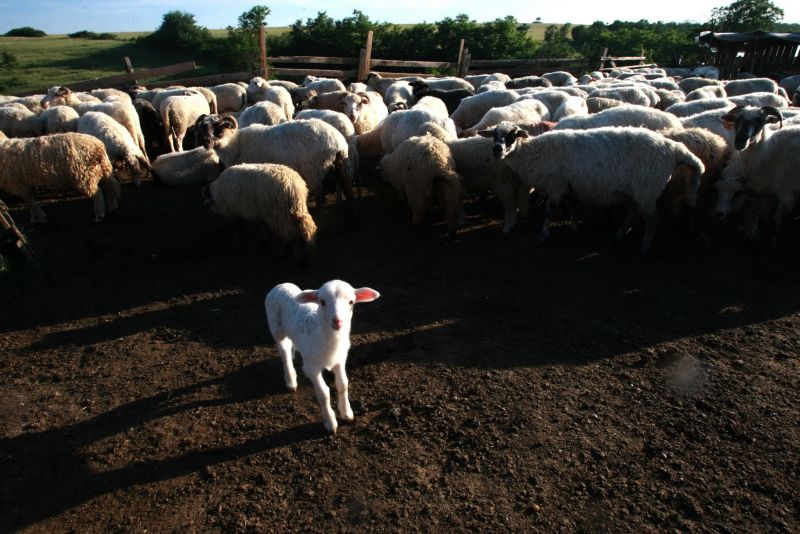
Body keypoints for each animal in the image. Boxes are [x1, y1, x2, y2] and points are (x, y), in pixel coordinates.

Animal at [264, 280, 380, 436]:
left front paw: (346, 413)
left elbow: (343, 384)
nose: (337, 321)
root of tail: (282, 285)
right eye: (322, 302)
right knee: (284, 353)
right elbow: (324, 393)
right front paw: (330, 423)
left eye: (351, 302)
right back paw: (290, 380)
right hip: (276, 329)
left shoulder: (339, 360)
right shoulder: (312, 368)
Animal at [484, 124, 704, 254]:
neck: (532, 153)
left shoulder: (556, 186)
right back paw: (617, 237)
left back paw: (644, 246)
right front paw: (573, 229)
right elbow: (571, 209)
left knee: (652, 219)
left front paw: (543, 236)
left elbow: (549, 212)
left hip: (647, 190)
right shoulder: (567, 187)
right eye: (494, 135)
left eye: (512, 135)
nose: (497, 150)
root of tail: (676, 149)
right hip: (638, 192)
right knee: (633, 215)